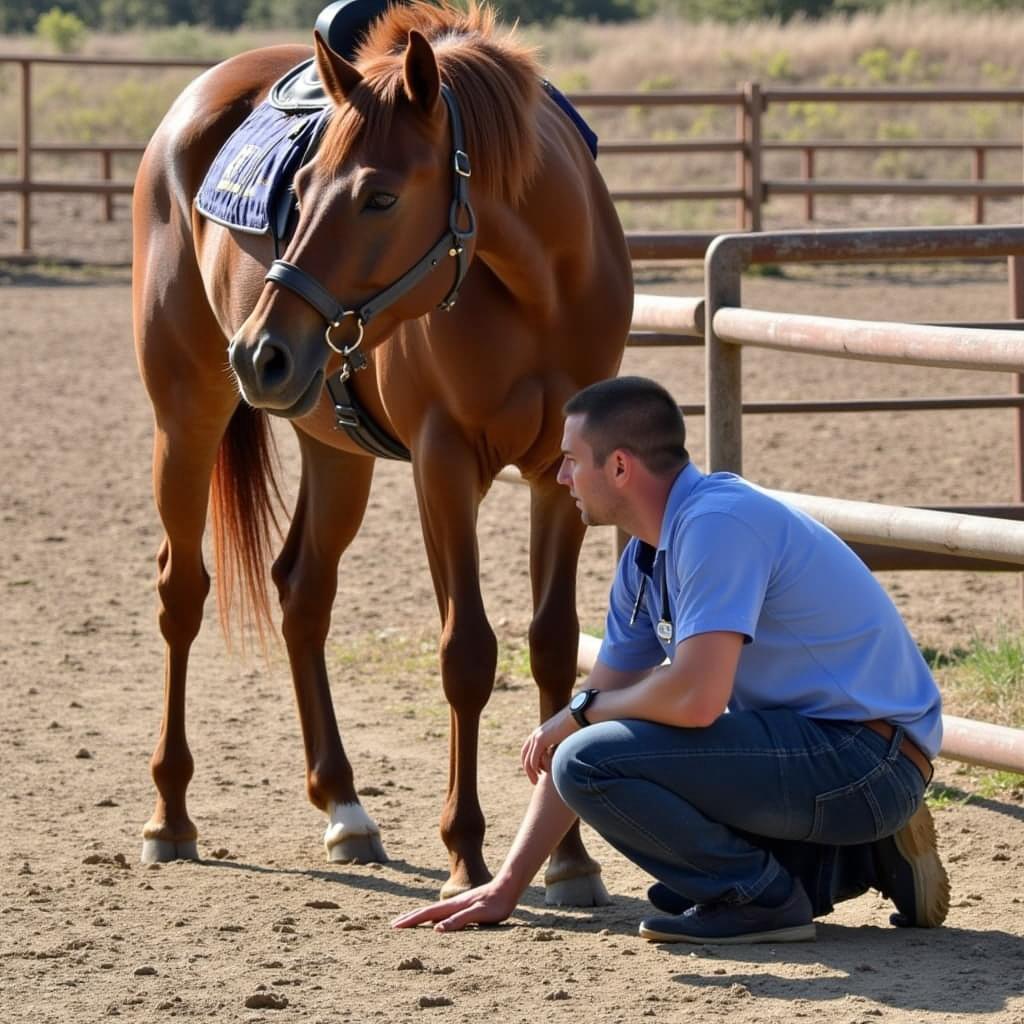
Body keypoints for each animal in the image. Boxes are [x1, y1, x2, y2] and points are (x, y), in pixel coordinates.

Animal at [134, 0, 630, 901]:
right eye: (297, 192)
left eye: (380, 196)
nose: (259, 351)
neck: (538, 283)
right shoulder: (444, 464)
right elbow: (467, 651)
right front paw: (465, 853)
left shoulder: (559, 473)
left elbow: (551, 647)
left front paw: (569, 860)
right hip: (184, 416)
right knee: (181, 593)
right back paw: (170, 814)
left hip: (336, 450)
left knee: (302, 591)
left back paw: (344, 806)